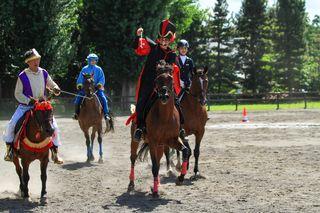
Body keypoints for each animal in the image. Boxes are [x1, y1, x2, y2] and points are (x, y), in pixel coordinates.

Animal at [129, 60, 191, 198]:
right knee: (133, 158)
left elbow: (185, 151)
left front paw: (180, 178)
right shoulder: (153, 142)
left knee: (159, 158)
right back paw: (131, 183)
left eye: (171, 79)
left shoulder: (172, 140)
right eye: (157, 79)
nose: (164, 96)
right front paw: (156, 192)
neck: (165, 117)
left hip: (161, 146)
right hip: (136, 140)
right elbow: (155, 167)